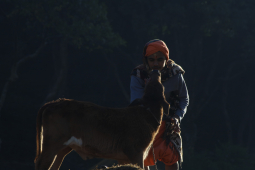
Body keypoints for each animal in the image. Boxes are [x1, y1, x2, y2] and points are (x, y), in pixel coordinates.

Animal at [33, 69, 169, 169]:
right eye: (161, 86)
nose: (156, 70)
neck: (147, 113)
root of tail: (53, 102)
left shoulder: (124, 157)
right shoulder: (136, 152)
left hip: (63, 148)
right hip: (52, 142)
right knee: (41, 162)